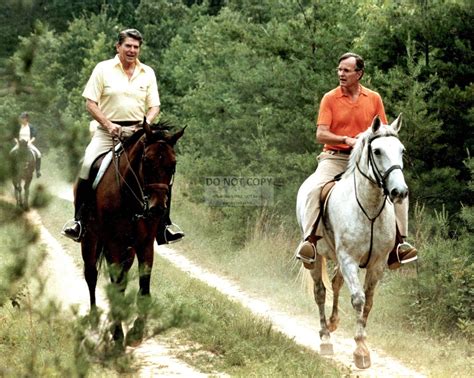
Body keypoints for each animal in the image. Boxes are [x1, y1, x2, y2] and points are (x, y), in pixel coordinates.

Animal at [79, 120, 183, 346]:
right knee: (91, 275)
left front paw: (137, 330)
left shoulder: (145, 244)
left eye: (173, 164)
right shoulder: (113, 243)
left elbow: (143, 289)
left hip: (129, 250)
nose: (157, 209)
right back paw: (94, 319)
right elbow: (115, 287)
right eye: (147, 160)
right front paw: (118, 335)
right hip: (91, 240)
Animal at [296, 115, 408, 370]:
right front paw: (360, 350)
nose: (399, 192)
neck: (370, 209)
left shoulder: (376, 264)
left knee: (336, 284)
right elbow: (358, 299)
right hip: (317, 257)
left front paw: (362, 347)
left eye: (402, 151)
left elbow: (368, 302)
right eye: (377, 151)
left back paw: (333, 322)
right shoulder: (349, 259)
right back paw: (325, 338)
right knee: (320, 292)